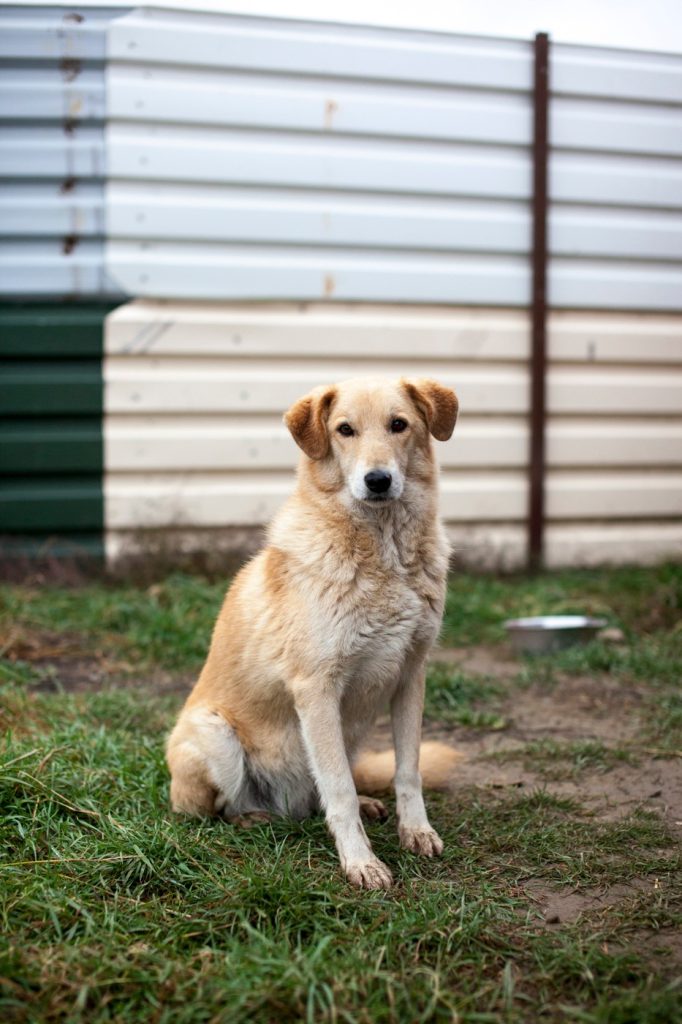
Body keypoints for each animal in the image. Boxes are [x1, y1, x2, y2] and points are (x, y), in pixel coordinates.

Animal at [166, 376, 458, 888]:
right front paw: (360, 863)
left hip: (352, 734)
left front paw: (416, 832)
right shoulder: (316, 688)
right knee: (219, 811)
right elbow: (338, 789)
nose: (377, 480)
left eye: (398, 424)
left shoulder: (411, 675)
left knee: (326, 794)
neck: (385, 553)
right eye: (344, 430)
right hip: (215, 736)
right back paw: (253, 817)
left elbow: (408, 771)